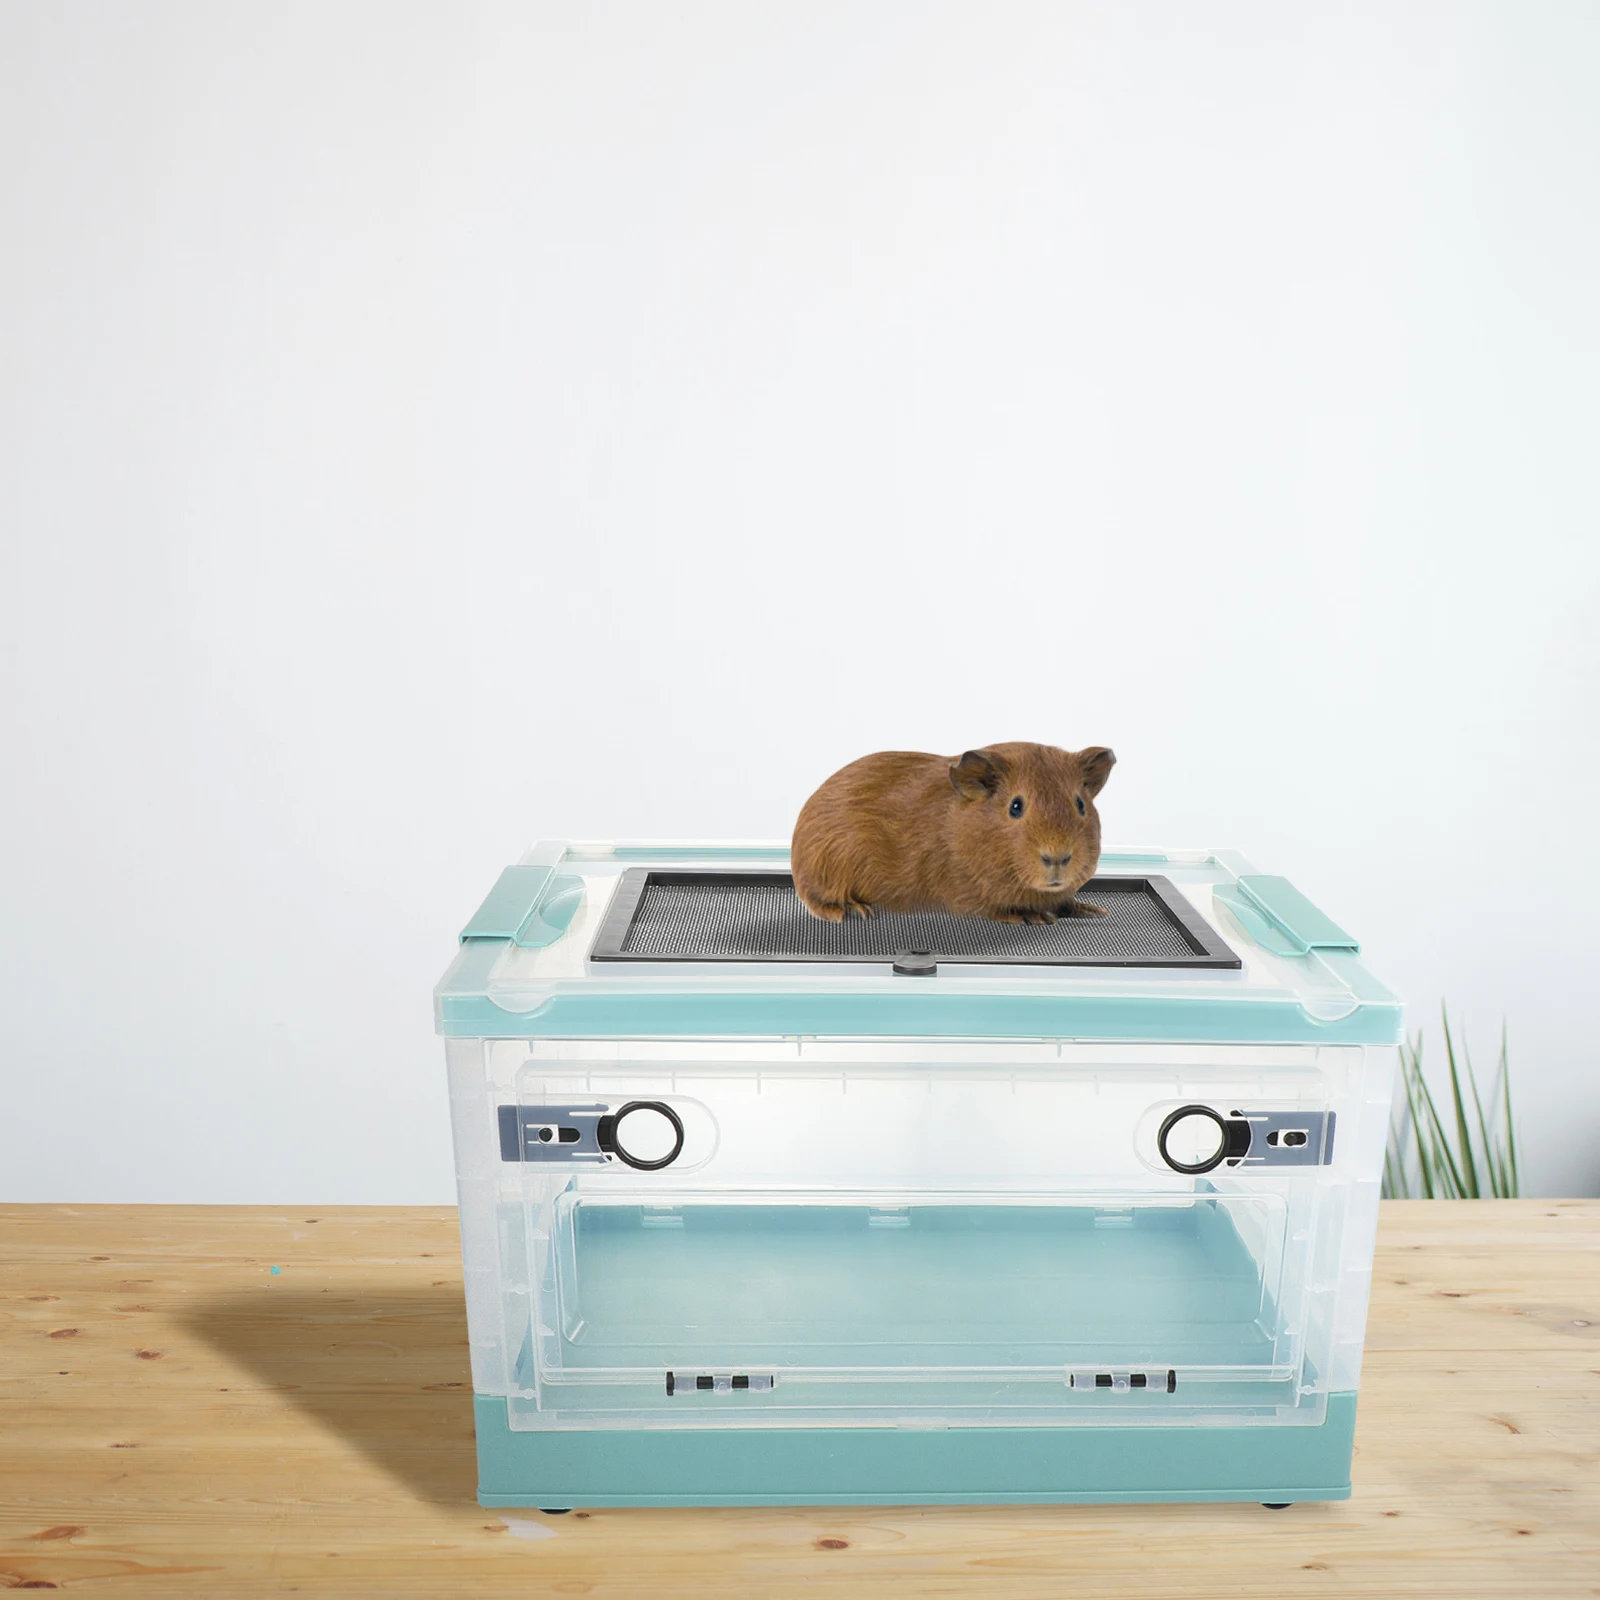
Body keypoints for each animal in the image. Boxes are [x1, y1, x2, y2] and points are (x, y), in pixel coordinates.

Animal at [791, 742, 1116, 924]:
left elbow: (1067, 903)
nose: (1057, 858)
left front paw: (1094, 911)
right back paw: (854, 911)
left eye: (1080, 804)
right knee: (817, 901)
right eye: (1015, 806)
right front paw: (1032, 918)